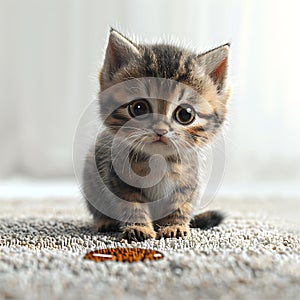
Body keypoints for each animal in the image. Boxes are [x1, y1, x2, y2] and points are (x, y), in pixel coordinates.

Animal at [83, 29, 231, 243]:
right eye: (138, 108)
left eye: (185, 114)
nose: (160, 130)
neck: (158, 159)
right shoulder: (119, 179)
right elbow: (132, 204)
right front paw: (139, 227)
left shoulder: (188, 181)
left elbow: (179, 205)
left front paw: (174, 226)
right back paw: (105, 222)